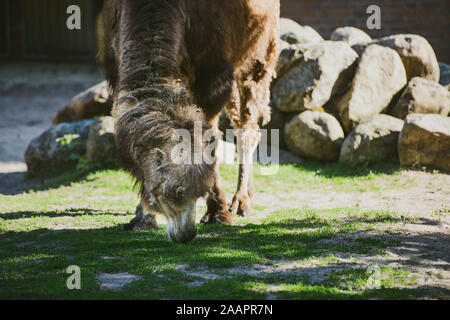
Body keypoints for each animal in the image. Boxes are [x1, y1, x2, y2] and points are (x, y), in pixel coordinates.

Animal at [52, 0, 280, 242]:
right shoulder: (115, 67)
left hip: (259, 55)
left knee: (248, 125)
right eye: (170, 192)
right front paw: (142, 218)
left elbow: (209, 137)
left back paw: (241, 202)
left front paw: (217, 212)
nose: (187, 235)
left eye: (197, 192)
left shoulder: (214, 73)